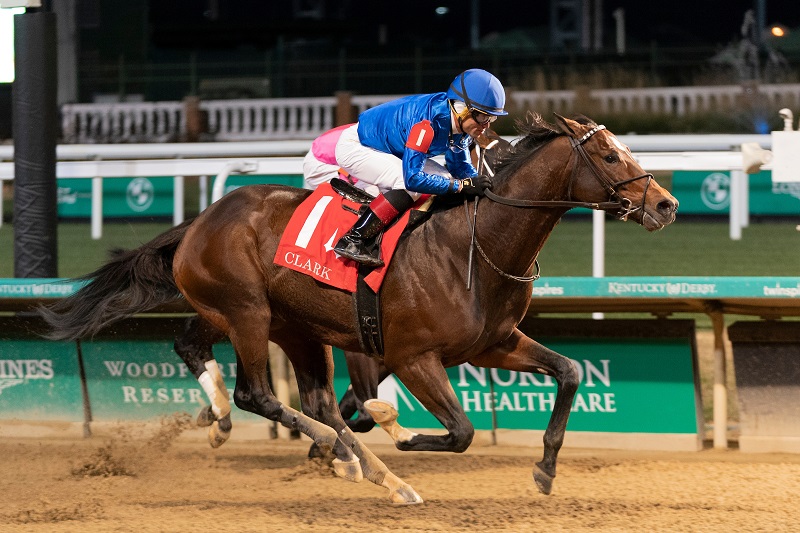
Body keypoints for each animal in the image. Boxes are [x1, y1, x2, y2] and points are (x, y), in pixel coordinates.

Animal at [40, 112, 680, 502]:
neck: (471, 247)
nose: (667, 205)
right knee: (262, 395)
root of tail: (201, 219)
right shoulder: (413, 355)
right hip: (247, 313)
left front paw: (545, 468)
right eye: (611, 157)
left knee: (238, 367)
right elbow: (458, 430)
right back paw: (341, 454)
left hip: (290, 325)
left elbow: (568, 371)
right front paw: (395, 432)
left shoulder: (494, 343)